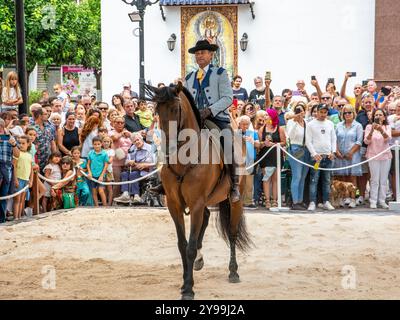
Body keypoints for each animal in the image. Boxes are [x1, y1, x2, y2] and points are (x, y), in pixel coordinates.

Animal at [145, 82, 252, 300]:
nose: (166, 147)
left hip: (234, 202)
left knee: (232, 233)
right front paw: (186, 282)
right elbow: (182, 244)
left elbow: (191, 246)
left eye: (175, 109)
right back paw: (200, 262)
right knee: (207, 216)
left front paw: (188, 288)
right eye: (157, 111)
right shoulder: (175, 205)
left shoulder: (195, 205)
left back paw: (233, 271)